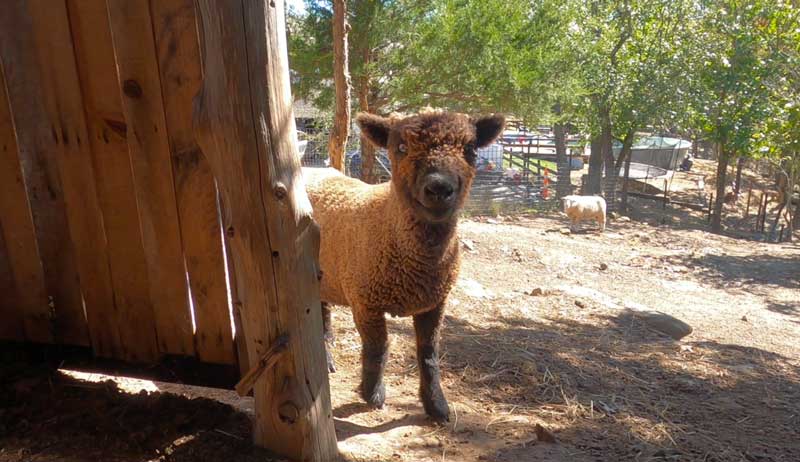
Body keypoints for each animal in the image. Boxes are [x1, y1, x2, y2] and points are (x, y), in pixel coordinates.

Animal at [303, 110, 505, 422]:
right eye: (400, 147)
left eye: (470, 150)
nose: (439, 188)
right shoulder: (366, 301)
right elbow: (378, 348)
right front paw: (373, 394)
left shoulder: (435, 303)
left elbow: (428, 354)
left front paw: (437, 406)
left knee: (323, 313)